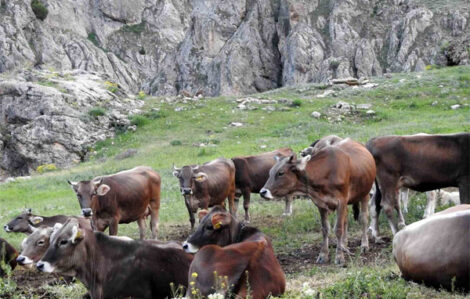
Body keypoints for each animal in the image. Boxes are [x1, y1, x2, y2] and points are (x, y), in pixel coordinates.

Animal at [260, 136, 374, 264]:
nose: (263, 192)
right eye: (270, 172)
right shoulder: (321, 204)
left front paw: (339, 257)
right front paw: (323, 255)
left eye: (281, 173)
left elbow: (338, 229)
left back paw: (364, 245)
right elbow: (325, 229)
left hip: (364, 194)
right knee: (345, 221)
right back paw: (344, 245)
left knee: (363, 219)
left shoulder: (341, 202)